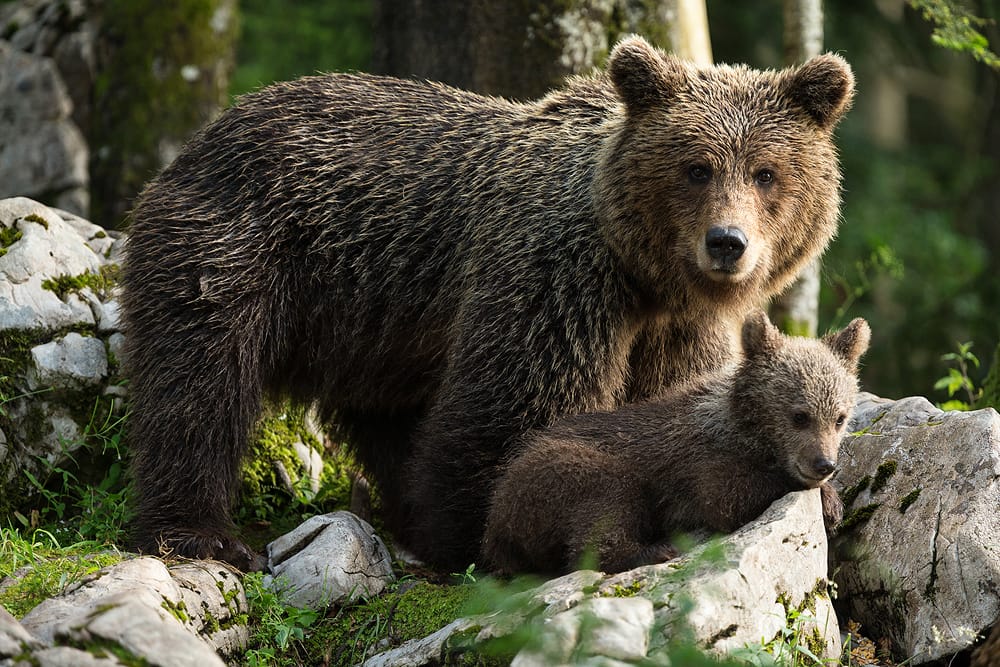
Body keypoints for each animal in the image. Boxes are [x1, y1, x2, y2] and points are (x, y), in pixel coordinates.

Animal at [481, 311, 871, 576]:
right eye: (799, 415)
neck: (744, 430)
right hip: (552, 473)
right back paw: (653, 551)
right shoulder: (701, 461)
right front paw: (827, 499)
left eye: (839, 417)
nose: (824, 464)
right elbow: (727, 496)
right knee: (604, 504)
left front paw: (833, 503)